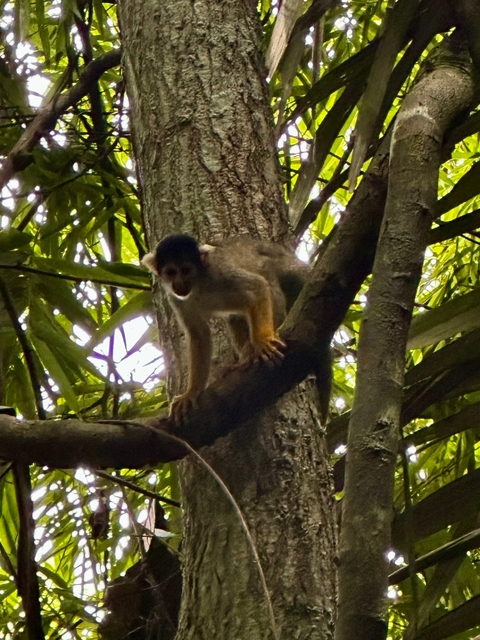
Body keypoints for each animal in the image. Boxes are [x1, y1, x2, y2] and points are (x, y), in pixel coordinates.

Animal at [141, 234, 308, 422]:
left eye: (185, 270)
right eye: (171, 272)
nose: (179, 283)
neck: (199, 282)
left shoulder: (219, 273)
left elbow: (257, 286)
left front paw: (263, 340)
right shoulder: (176, 298)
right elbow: (198, 333)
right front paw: (191, 393)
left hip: (287, 269)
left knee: (268, 281)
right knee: (236, 316)